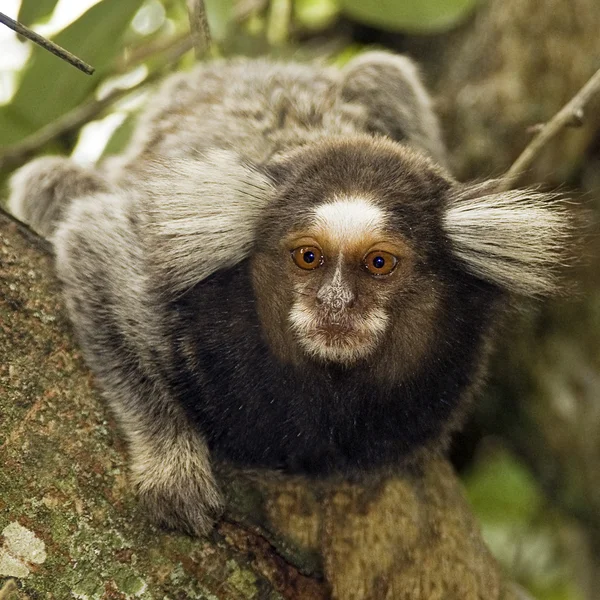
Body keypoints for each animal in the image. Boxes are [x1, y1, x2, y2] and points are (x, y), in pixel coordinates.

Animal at [8, 51, 572, 536]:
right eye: (308, 257)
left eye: (379, 264)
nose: (335, 303)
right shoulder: (171, 272)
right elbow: (94, 242)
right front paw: (172, 464)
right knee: (49, 182)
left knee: (382, 71)